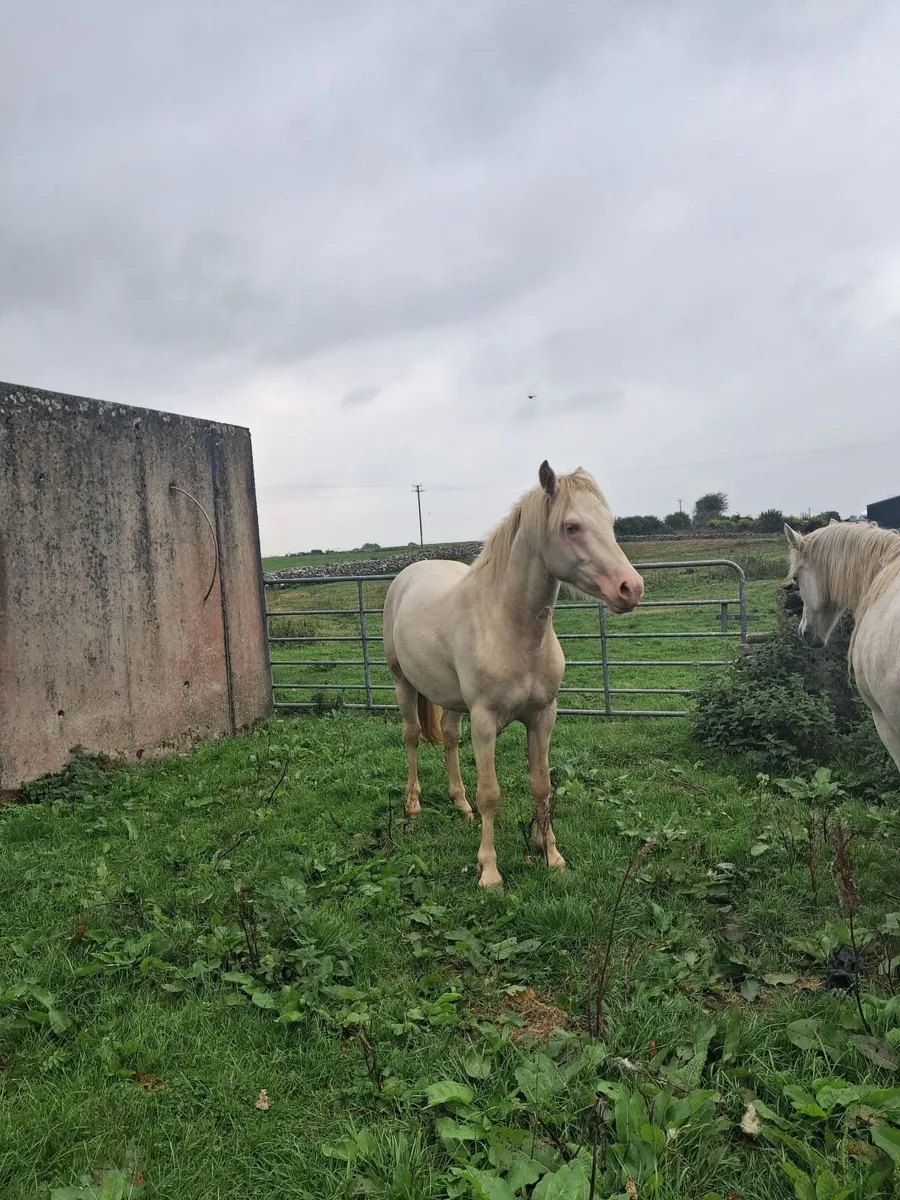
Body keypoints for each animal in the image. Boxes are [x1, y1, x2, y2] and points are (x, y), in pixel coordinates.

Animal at [382, 461, 644, 889]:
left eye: (609, 522)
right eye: (572, 526)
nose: (630, 588)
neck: (511, 628)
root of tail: (409, 574)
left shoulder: (543, 716)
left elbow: (542, 785)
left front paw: (551, 855)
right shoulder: (485, 722)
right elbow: (491, 792)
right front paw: (489, 872)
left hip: (451, 699)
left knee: (450, 739)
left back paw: (461, 807)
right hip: (402, 684)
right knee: (411, 738)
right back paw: (414, 806)